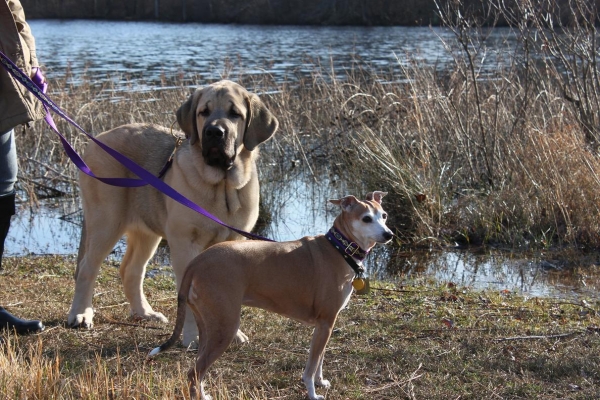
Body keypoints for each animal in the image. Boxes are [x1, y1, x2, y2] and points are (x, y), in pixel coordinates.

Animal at [68, 80, 278, 344]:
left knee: (131, 271)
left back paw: (144, 313)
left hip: (146, 232)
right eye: (204, 112)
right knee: (87, 268)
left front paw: (232, 333)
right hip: (106, 221)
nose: (214, 132)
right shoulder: (184, 243)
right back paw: (80, 314)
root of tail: (96, 140)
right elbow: (187, 297)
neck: (222, 186)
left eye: (235, 114)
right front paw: (193, 336)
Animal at [149, 191, 394, 400]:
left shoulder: (325, 324)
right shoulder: (326, 322)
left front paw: (321, 382)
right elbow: (310, 367)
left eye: (383, 215)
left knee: (197, 370)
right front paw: (313, 393)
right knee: (194, 372)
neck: (339, 248)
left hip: (209, 326)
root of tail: (197, 262)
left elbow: (320, 360)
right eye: (366, 219)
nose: (388, 234)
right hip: (225, 328)